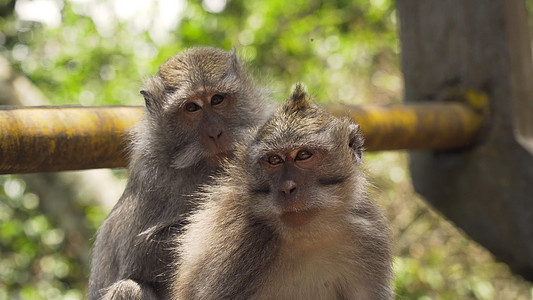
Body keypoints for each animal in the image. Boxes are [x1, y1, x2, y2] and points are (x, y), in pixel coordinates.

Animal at [88, 48, 270, 298]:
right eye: (191, 108)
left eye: (217, 99)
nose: (215, 133)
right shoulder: (150, 174)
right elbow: (137, 255)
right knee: (128, 288)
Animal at [172, 83, 392, 298]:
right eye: (274, 160)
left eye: (303, 155)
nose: (287, 188)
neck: (309, 235)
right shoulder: (236, 247)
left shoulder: (368, 234)